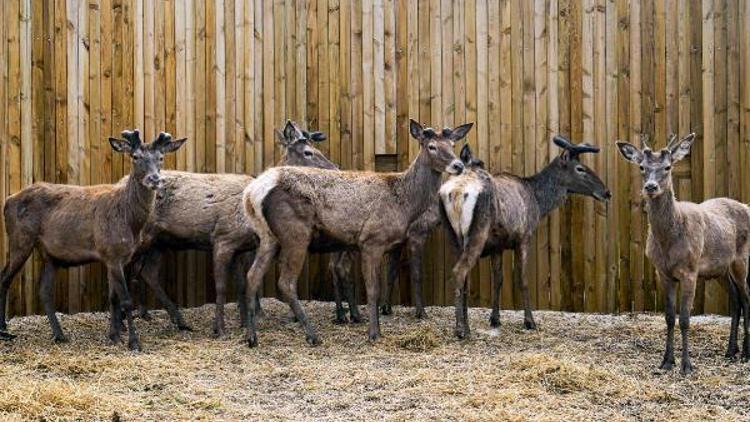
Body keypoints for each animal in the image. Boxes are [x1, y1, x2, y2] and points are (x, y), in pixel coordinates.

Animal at [0, 131, 187, 350]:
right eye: (135, 156)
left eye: (161, 157)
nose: (154, 179)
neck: (129, 221)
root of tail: (7, 201)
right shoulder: (112, 251)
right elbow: (125, 300)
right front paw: (133, 342)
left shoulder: (117, 257)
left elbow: (113, 297)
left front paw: (114, 335)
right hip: (20, 239)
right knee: (5, 277)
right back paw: (4, 328)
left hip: (50, 254)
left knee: (44, 290)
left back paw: (59, 334)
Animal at [128, 119, 360, 336]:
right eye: (308, 152)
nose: (336, 169)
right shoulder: (227, 239)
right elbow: (233, 284)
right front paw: (235, 323)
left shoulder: (245, 246)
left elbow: (241, 283)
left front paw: (245, 320)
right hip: (146, 238)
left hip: (159, 242)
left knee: (148, 272)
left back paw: (177, 320)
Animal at [244, 118, 472, 346]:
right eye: (431, 146)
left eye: (452, 145)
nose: (458, 165)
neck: (404, 203)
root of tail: (252, 193)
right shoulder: (372, 240)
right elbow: (373, 290)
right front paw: (373, 333)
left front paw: (376, 326)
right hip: (295, 234)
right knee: (286, 282)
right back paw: (312, 334)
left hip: (268, 237)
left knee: (253, 275)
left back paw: (252, 337)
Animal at [440, 138, 612, 340]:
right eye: (580, 168)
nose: (606, 192)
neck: (538, 201)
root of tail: (456, 192)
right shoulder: (524, 237)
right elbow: (522, 279)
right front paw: (530, 321)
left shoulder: (497, 245)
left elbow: (498, 279)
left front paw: (495, 319)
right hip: (477, 232)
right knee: (459, 271)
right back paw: (461, 329)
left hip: (453, 236)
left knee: (463, 276)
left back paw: (465, 325)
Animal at [616, 134, 750, 374]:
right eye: (641, 167)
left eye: (668, 167)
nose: (650, 187)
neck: (668, 242)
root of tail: (746, 206)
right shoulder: (663, 272)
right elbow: (670, 317)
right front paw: (667, 361)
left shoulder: (690, 270)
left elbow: (685, 318)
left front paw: (687, 365)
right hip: (720, 269)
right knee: (735, 300)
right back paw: (730, 351)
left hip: (741, 260)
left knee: (746, 297)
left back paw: (745, 353)